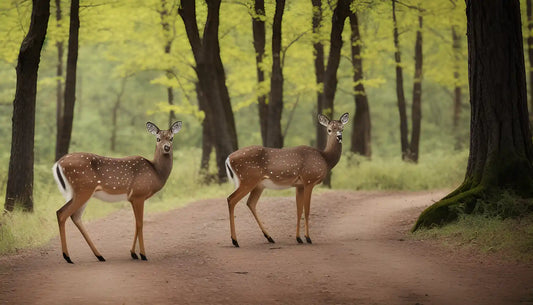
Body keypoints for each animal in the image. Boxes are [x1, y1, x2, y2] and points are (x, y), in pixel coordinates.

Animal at [52, 120, 181, 262]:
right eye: (158, 138)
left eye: (171, 138)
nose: (166, 147)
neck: (156, 173)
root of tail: (58, 163)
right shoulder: (139, 195)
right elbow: (140, 223)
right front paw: (143, 254)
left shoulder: (133, 198)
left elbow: (136, 224)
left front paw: (133, 253)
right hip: (83, 189)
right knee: (63, 213)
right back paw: (67, 256)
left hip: (80, 192)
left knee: (73, 216)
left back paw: (99, 255)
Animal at [224, 111, 350, 247]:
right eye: (329, 129)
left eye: (342, 128)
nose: (339, 137)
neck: (325, 159)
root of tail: (228, 159)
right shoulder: (309, 180)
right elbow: (307, 210)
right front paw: (308, 238)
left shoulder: (299, 185)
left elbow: (299, 210)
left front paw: (299, 238)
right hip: (248, 179)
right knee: (231, 199)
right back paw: (235, 240)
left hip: (258, 185)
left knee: (250, 203)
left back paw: (269, 237)